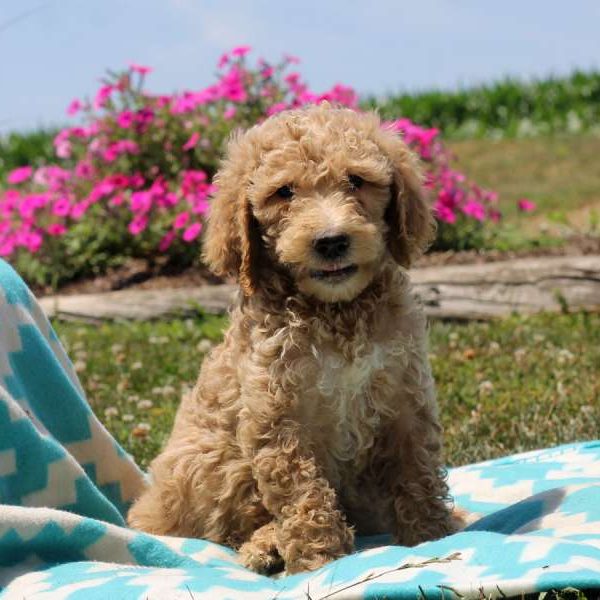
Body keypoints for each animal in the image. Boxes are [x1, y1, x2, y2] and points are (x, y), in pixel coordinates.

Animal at [129, 103, 460, 572]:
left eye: (356, 180)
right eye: (284, 192)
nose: (331, 241)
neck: (336, 313)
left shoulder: (405, 397)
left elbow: (417, 471)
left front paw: (433, 533)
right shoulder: (277, 416)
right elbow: (303, 493)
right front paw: (321, 561)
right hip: (208, 456)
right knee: (229, 526)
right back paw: (265, 545)